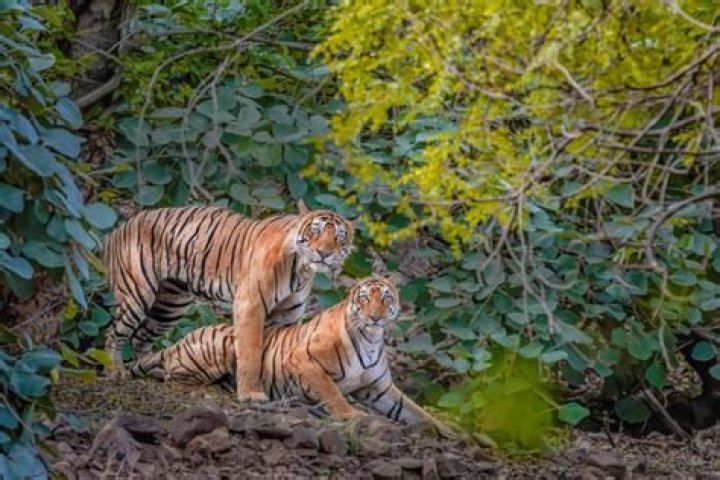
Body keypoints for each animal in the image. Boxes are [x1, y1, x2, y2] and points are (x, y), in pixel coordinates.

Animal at [103, 200, 354, 402]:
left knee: (141, 338)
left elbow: (275, 352)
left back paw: (150, 370)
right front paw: (251, 394)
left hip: (169, 305)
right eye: (315, 231)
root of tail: (120, 228)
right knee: (114, 333)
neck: (301, 270)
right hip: (137, 292)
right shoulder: (250, 304)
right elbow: (251, 351)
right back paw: (115, 371)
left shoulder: (287, 314)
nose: (324, 253)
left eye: (339, 238)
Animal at [130, 277, 446, 430]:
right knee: (174, 373)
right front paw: (351, 414)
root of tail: (182, 339)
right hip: (220, 346)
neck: (370, 338)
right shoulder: (303, 359)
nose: (375, 317)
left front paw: (448, 432)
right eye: (365, 299)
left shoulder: (380, 389)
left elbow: (414, 411)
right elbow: (332, 392)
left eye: (386, 299)